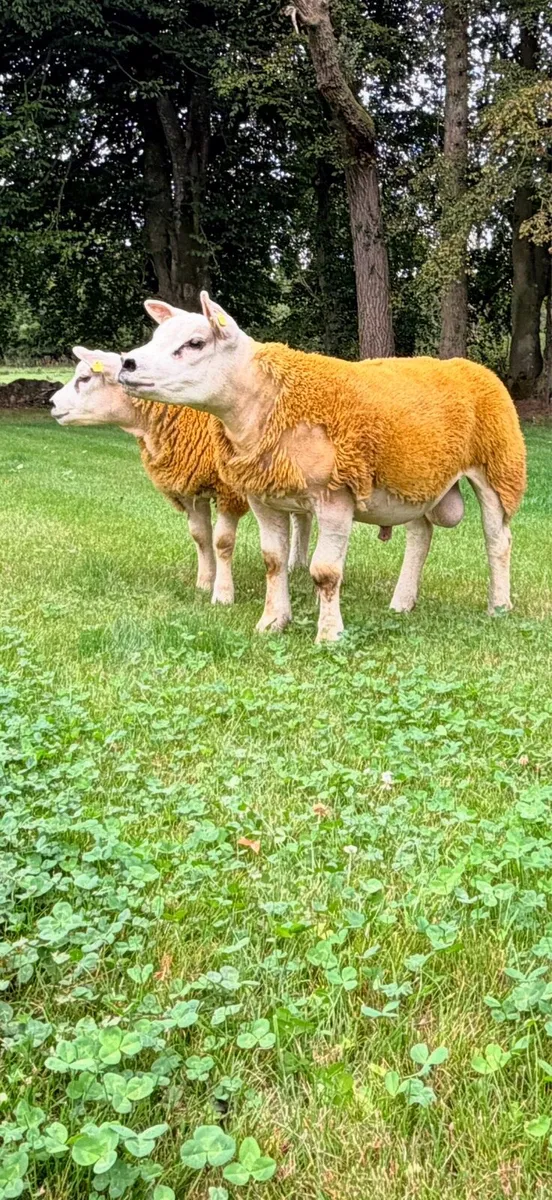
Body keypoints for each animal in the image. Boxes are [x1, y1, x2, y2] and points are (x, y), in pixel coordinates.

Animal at [51, 347, 313, 604]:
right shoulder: (190, 489)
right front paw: (204, 583)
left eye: (85, 378)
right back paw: (296, 566)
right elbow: (201, 537)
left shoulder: (229, 491)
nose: (52, 402)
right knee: (301, 519)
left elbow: (222, 542)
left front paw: (223, 594)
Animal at [118, 295, 527, 642]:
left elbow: (326, 572)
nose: (127, 364)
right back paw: (402, 602)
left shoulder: (335, 495)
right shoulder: (263, 497)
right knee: (420, 535)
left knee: (498, 541)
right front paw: (272, 622)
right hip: (414, 477)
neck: (270, 399)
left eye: (195, 343)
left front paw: (329, 635)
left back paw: (499, 605)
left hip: (498, 468)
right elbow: (273, 561)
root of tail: (471, 367)